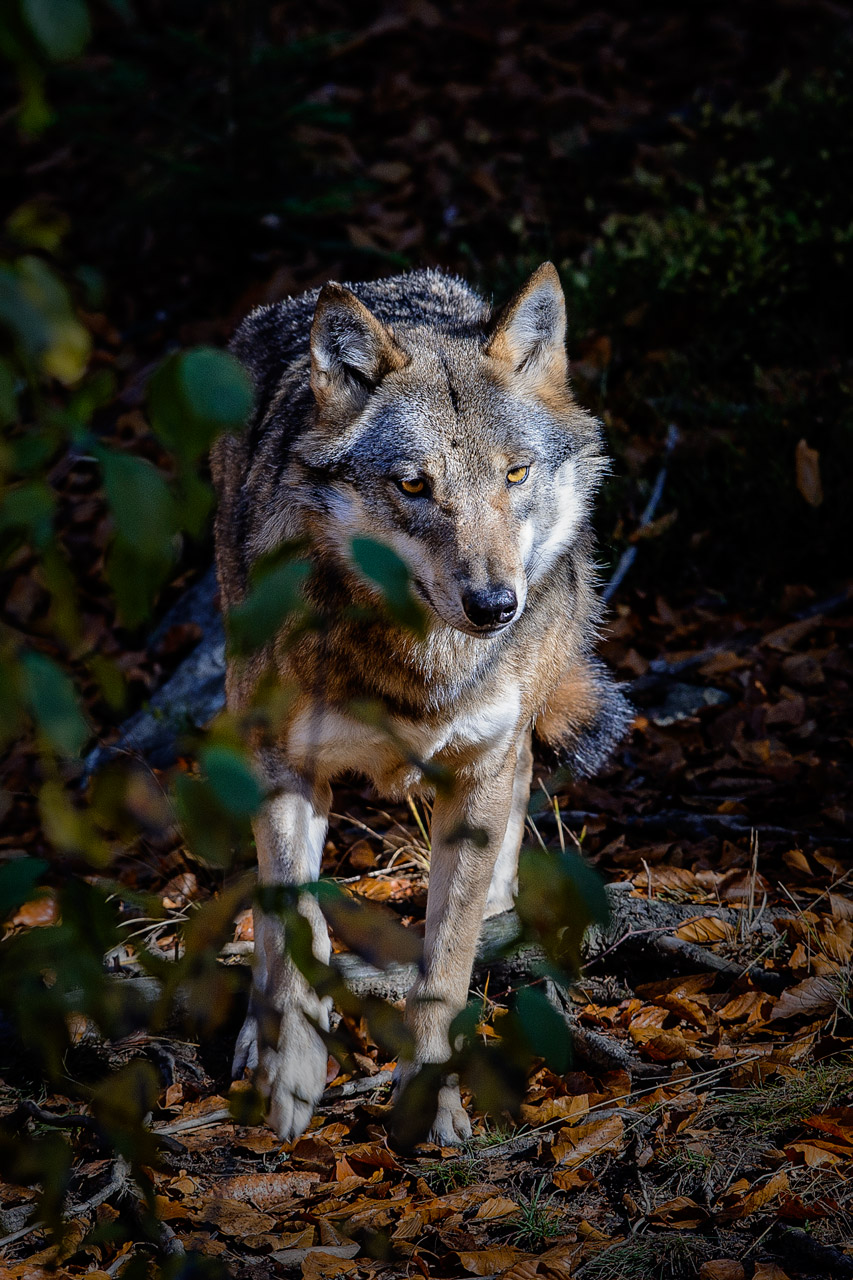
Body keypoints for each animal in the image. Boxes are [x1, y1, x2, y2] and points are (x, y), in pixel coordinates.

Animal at [211, 263, 632, 1144]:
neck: (422, 663)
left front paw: (429, 1099)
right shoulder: (284, 767)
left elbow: (444, 963)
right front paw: (291, 1073)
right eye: (413, 485)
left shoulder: (476, 777)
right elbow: (296, 923)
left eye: (514, 474)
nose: (493, 605)